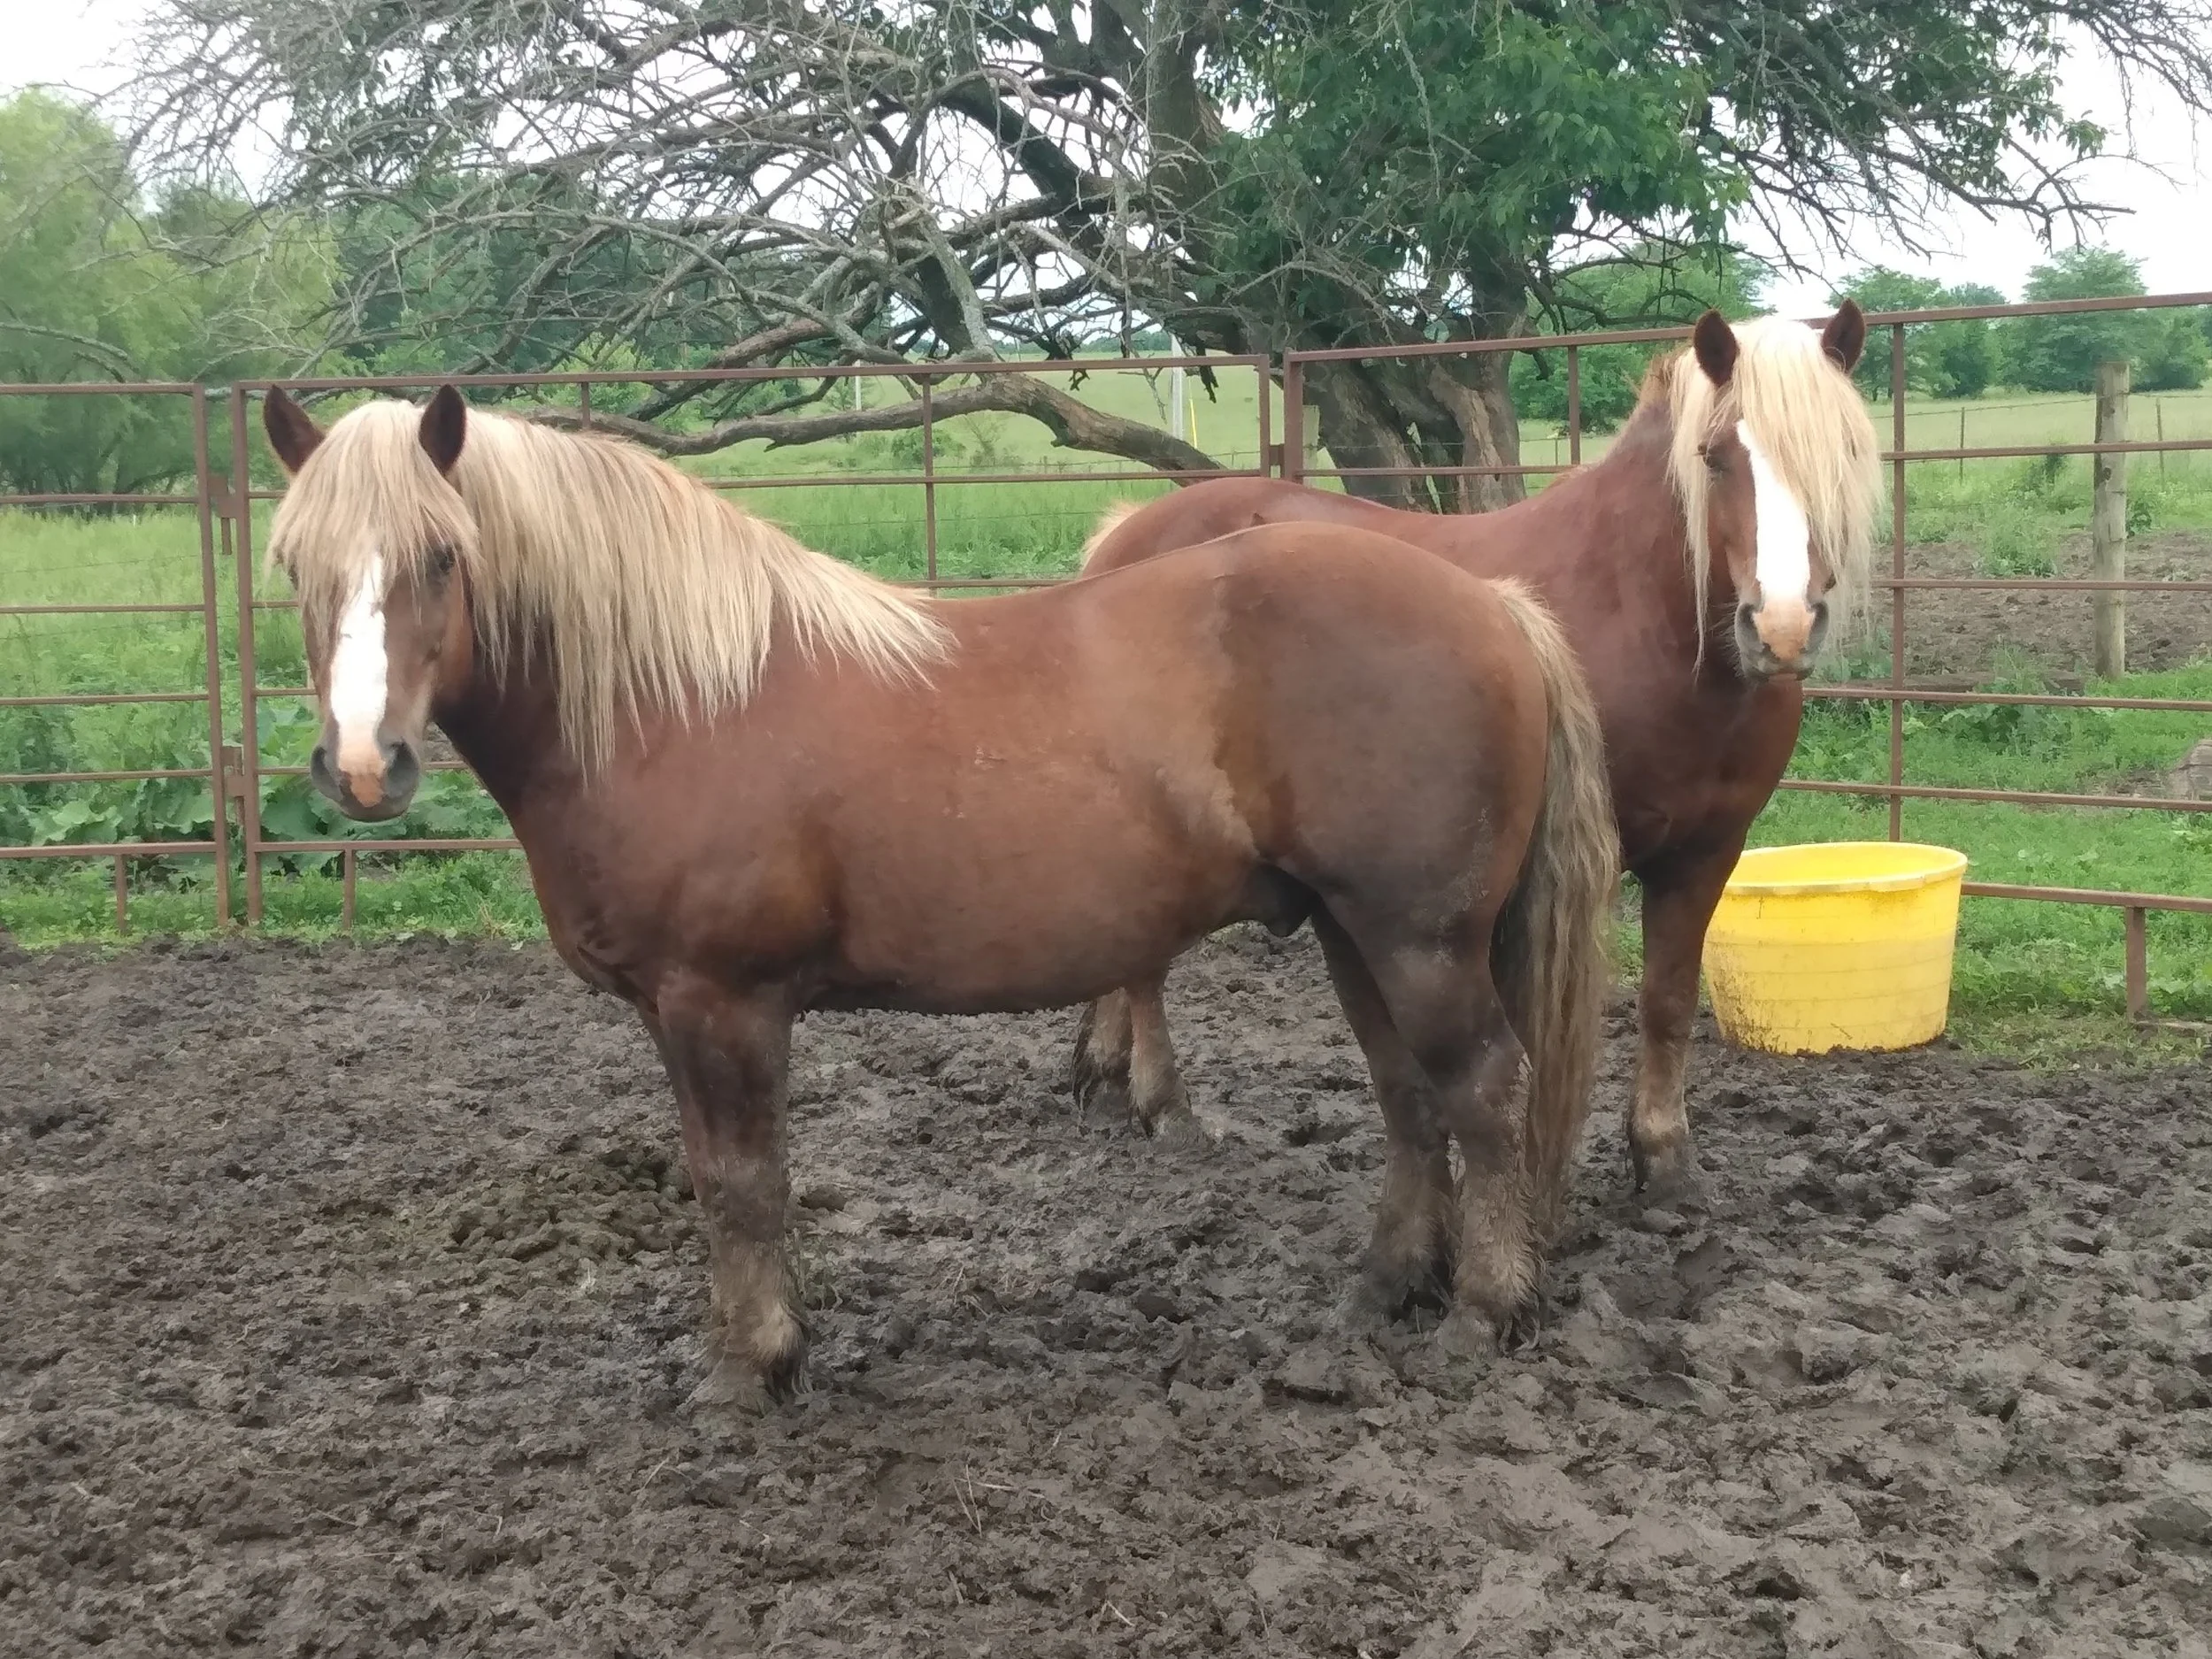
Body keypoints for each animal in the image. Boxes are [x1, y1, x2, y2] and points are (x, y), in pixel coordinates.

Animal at [259, 383, 1620, 1408]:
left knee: (1483, 1091)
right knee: (1410, 1098)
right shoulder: (676, 1012)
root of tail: (1494, 606)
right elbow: (713, 1177)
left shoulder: (720, 1002)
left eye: (443, 555)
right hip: (1359, 933)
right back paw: (1386, 1285)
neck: (679, 700)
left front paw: (752, 1369)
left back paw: (1483, 1310)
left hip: (1420, 939)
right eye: (293, 565)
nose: (366, 766)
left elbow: (745, 1182)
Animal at [1072, 305, 1882, 1202]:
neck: (1645, 617)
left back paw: (1109, 1070)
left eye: (1845, 451)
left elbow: (1668, 1001)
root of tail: (1128, 535)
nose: (1781, 628)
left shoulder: (1706, 852)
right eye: (1714, 455)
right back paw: (1163, 1101)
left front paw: (1664, 1157)